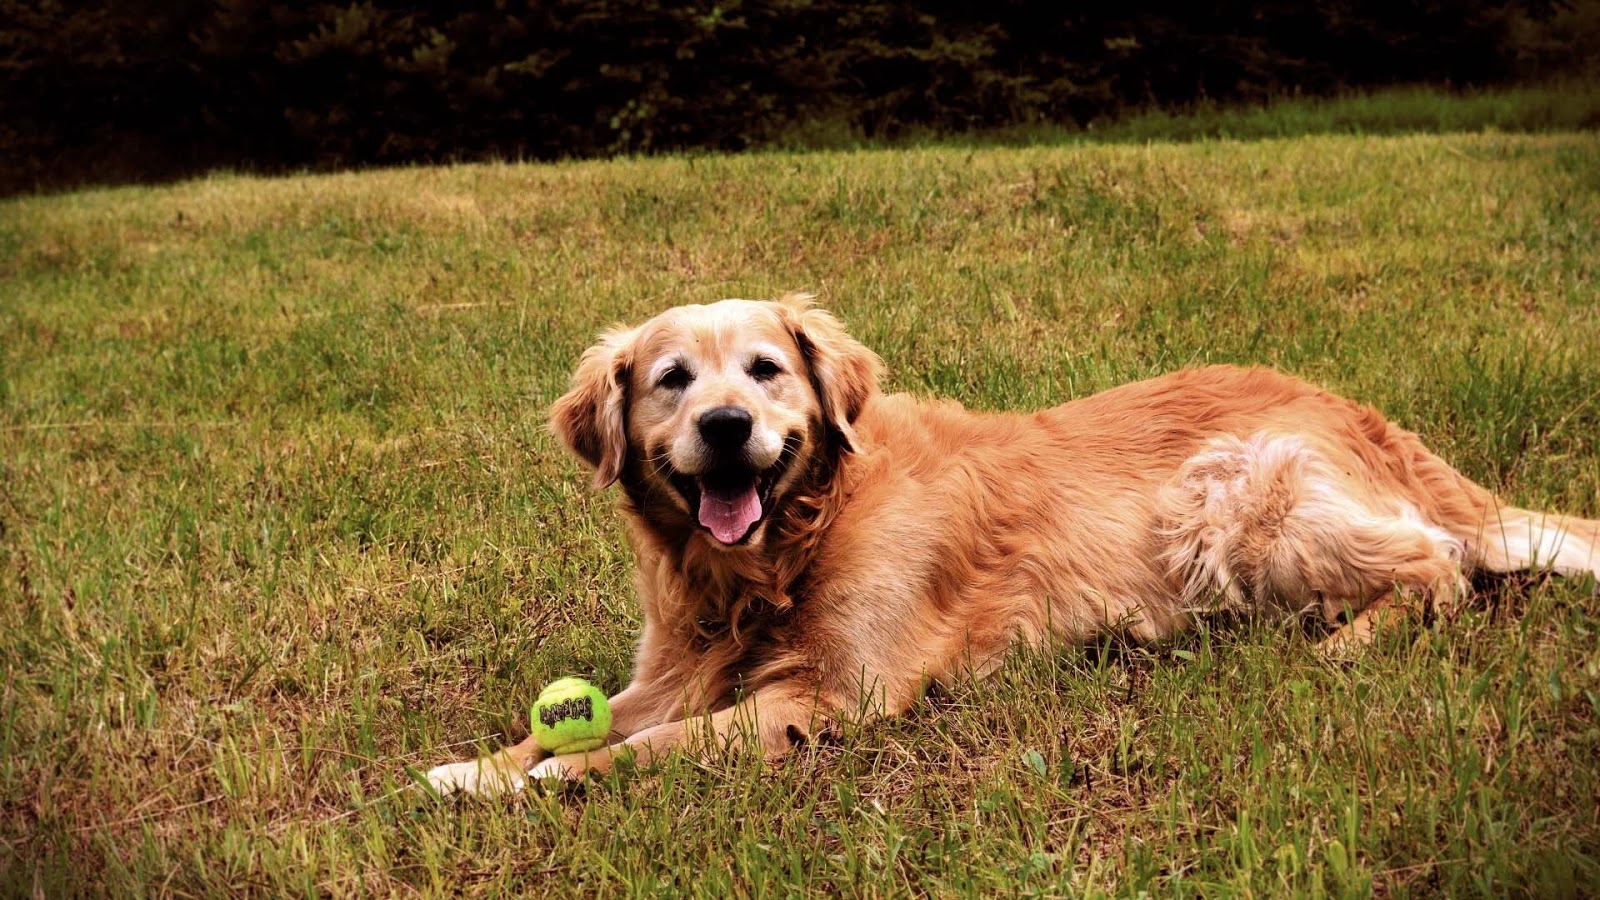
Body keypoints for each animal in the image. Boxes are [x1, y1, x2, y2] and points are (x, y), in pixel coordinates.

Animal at [425, 291, 1600, 787]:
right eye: (672, 379)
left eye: (764, 369)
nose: (725, 428)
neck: (787, 547)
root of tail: (1359, 411)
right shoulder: (672, 671)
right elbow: (567, 726)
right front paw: (466, 770)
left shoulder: (833, 696)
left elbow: (645, 748)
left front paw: (529, 786)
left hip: (1227, 498)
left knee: (1440, 570)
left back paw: (1347, 641)